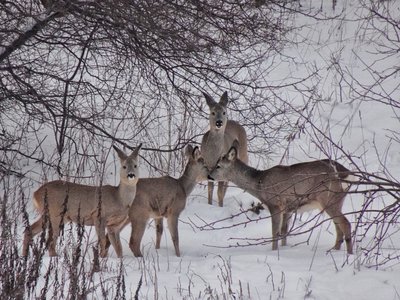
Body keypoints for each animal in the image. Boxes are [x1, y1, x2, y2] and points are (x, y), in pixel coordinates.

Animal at [208, 143, 354, 253]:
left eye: (218, 166)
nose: (209, 175)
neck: (259, 184)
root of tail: (346, 173)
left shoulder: (275, 204)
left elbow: (275, 232)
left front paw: (274, 251)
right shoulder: (288, 208)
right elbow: (284, 231)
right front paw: (284, 248)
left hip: (329, 198)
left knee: (345, 223)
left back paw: (349, 254)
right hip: (336, 200)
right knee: (338, 226)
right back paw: (334, 250)